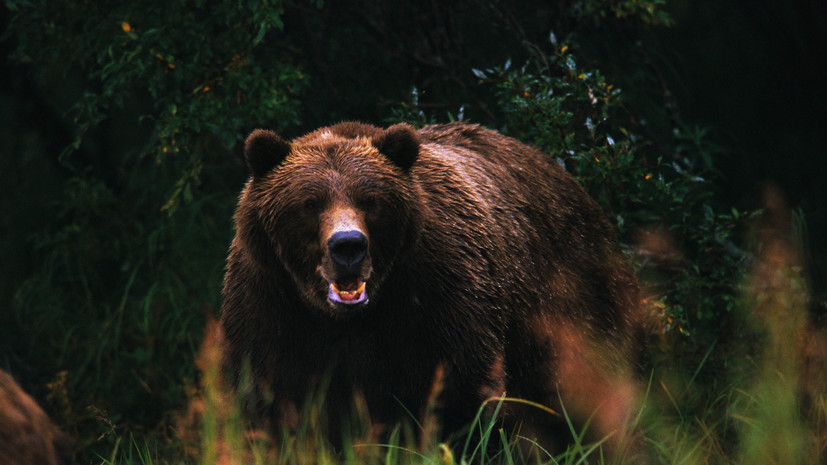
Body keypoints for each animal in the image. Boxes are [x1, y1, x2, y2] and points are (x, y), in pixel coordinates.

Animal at [219, 121, 645, 457]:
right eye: (309, 203)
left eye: (370, 200)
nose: (348, 246)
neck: (348, 319)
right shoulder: (271, 305)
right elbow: (268, 401)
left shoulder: (439, 297)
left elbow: (459, 396)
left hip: (573, 301)